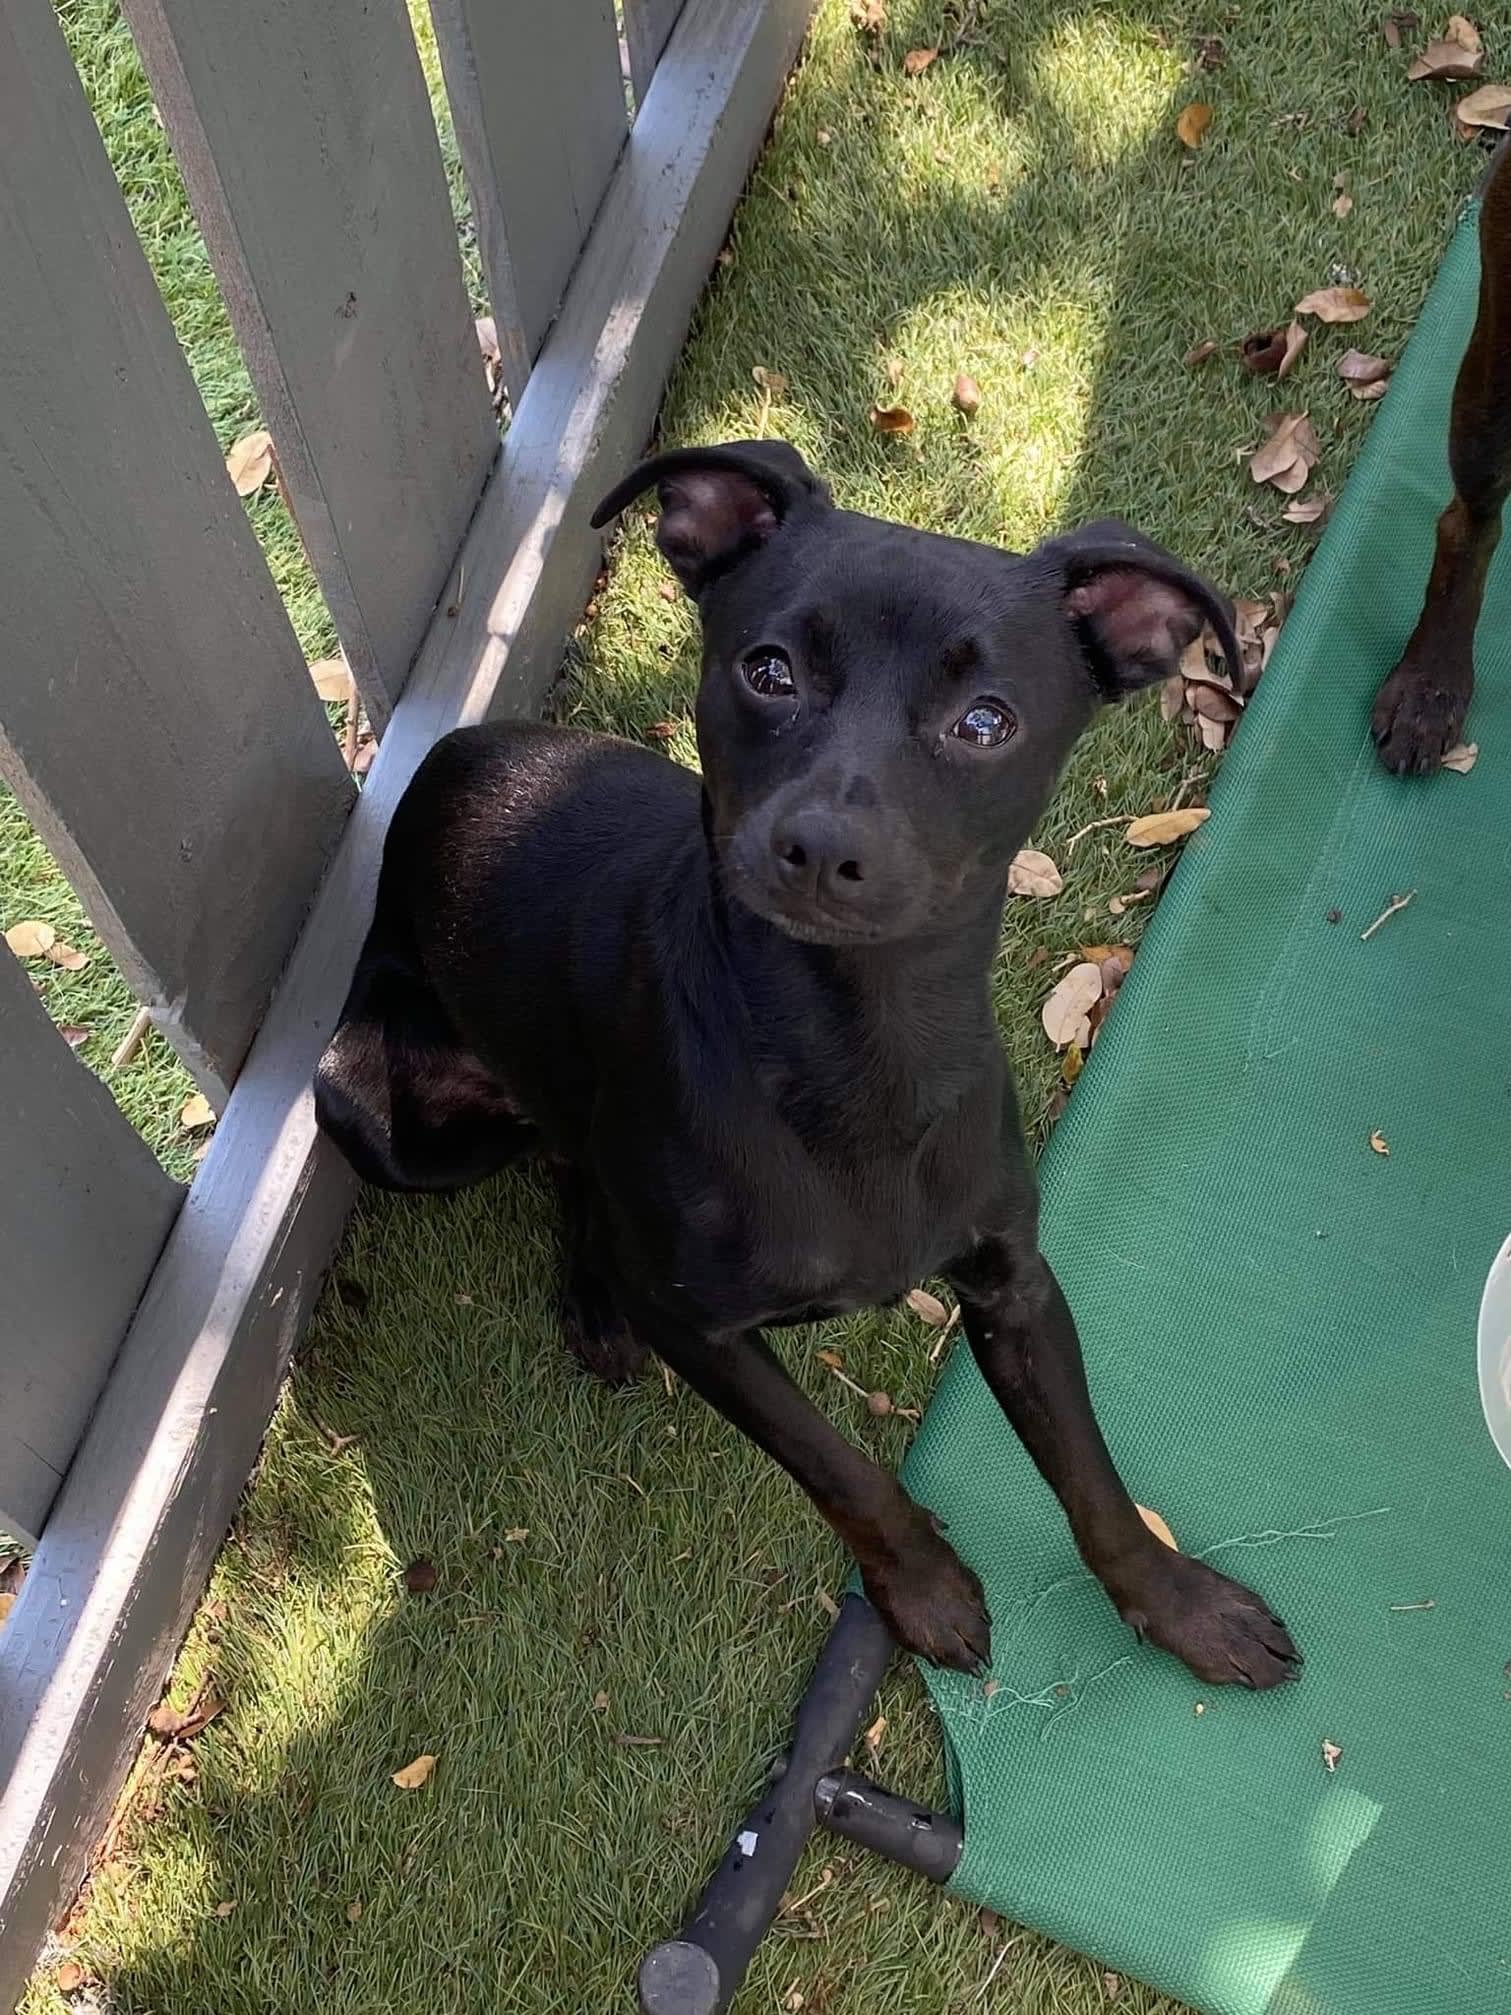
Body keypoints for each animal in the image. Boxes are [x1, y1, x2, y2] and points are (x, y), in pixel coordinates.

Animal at [316, 441, 1305, 1684]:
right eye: (768, 670)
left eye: (986, 719)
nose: (822, 847)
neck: (854, 1051)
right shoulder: (704, 1331)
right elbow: (844, 1471)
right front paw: (922, 1591)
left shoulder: (1016, 1283)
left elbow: (1090, 1474)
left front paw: (1178, 1604)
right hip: (371, 1114)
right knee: (560, 1155)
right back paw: (595, 1292)